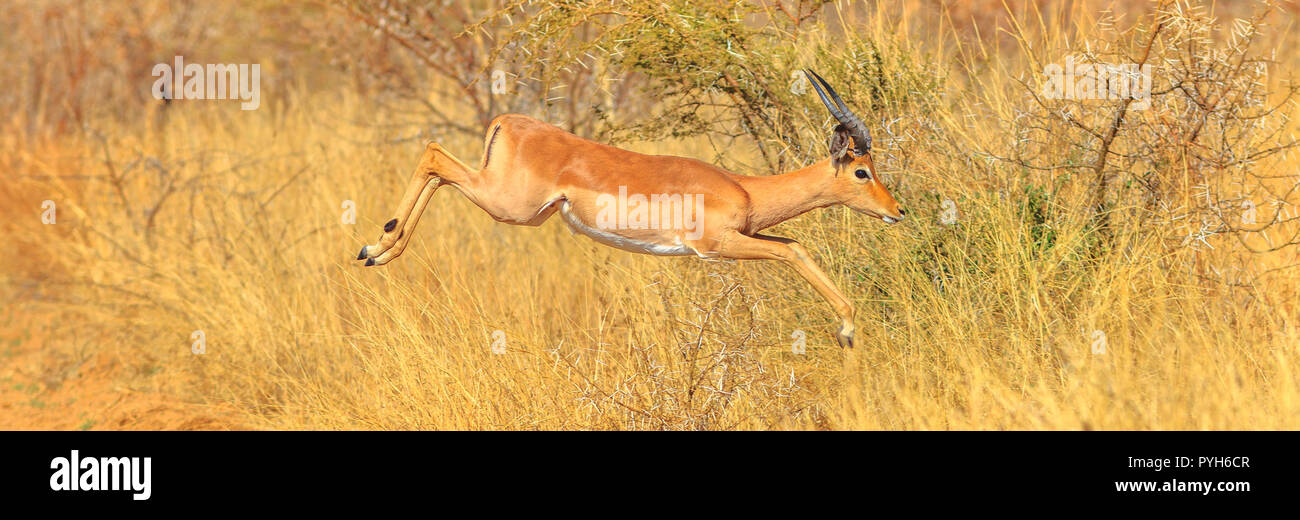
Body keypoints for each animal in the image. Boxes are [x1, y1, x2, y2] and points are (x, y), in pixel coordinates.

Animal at [356, 70, 905, 347]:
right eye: (862, 171)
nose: (896, 212)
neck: (744, 188)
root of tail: (508, 120)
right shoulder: (715, 246)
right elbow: (792, 251)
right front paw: (847, 331)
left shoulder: (746, 237)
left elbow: (795, 244)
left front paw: (848, 327)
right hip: (508, 204)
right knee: (433, 154)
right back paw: (375, 248)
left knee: (435, 163)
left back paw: (380, 249)